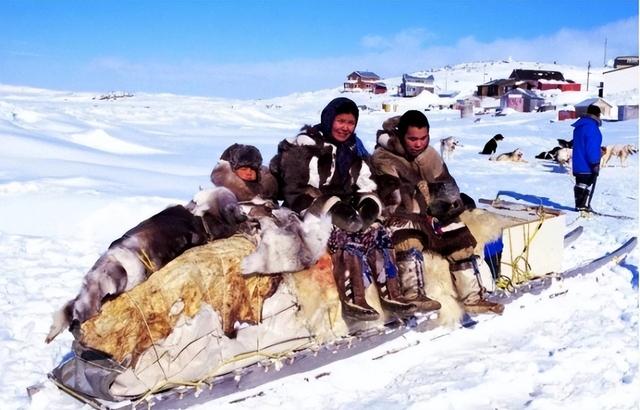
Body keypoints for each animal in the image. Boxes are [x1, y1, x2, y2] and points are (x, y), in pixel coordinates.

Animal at [45, 187, 248, 344]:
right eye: (236, 206)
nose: (244, 214)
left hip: (96, 288)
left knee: (72, 307)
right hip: (109, 281)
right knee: (78, 310)